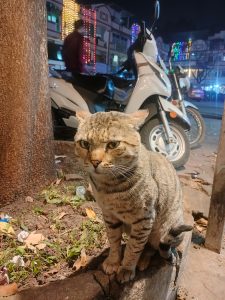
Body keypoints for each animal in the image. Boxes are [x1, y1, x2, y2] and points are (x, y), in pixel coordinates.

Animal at [74, 110, 192, 284]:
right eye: (84, 144)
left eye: (113, 144)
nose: (95, 161)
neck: (109, 187)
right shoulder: (109, 216)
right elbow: (114, 241)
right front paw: (113, 261)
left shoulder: (144, 219)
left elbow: (133, 248)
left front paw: (126, 268)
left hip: (166, 228)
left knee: (154, 247)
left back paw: (143, 260)